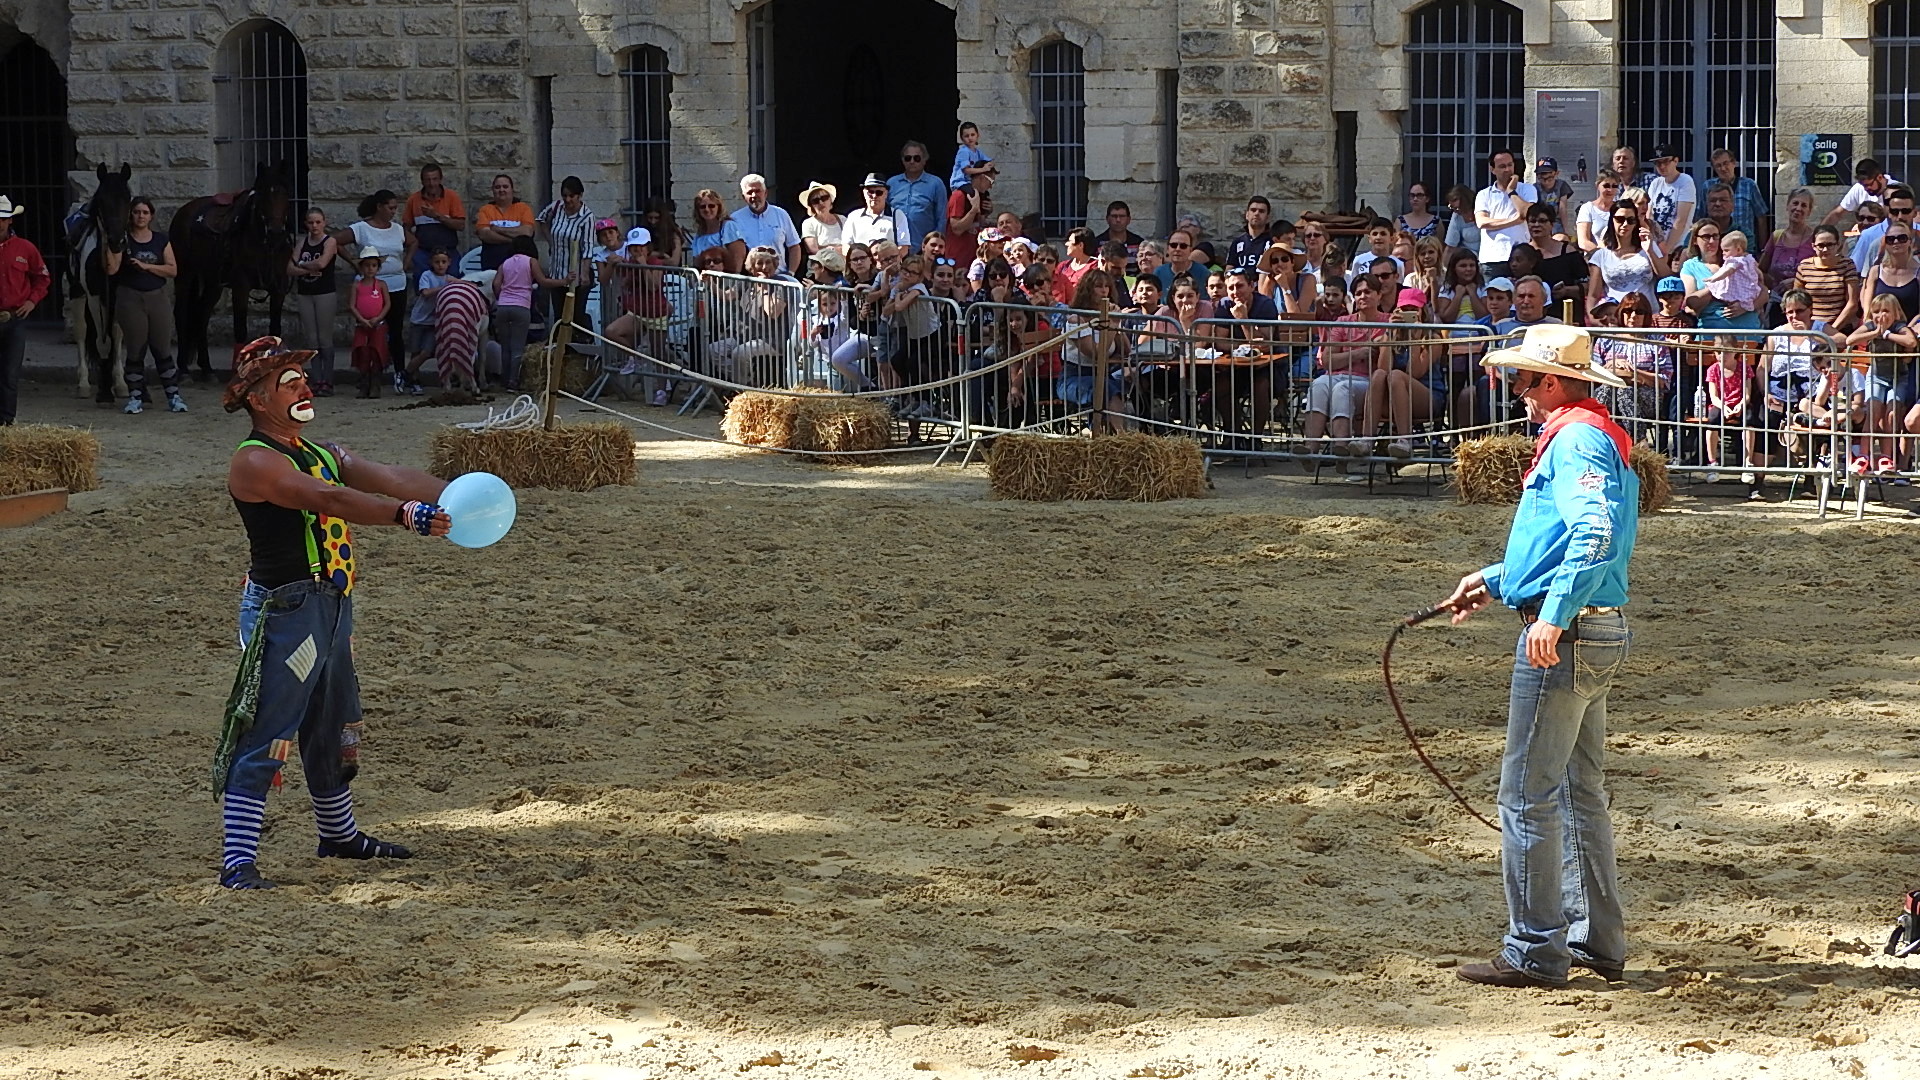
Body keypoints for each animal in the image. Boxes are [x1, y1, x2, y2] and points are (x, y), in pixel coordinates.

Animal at [64, 162, 133, 403]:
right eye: (101, 200)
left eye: (128, 198)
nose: (116, 242)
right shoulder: (94, 296)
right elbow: (101, 341)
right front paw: (104, 390)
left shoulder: (117, 294)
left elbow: (117, 335)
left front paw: (119, 383)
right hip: (77, 292)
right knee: (82, 332)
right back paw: (83, 383)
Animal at [170, 161, 295, 380]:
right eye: (263, 194)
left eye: (285, 193)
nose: (276, 232)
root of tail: (183, 212)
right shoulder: (241, 286)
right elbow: (240, 328)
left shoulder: (279, 287)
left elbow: (275, 328)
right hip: (185, 274)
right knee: (181, 314)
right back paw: (184, 369)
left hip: (213, 282)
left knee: (202, 315)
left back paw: (207, 368)